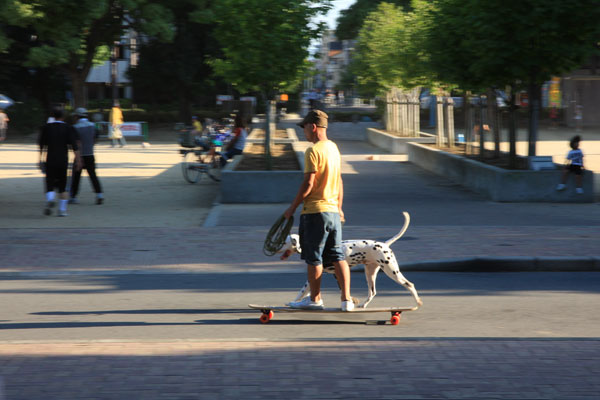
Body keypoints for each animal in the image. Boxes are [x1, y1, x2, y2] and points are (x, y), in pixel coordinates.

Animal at [278, 211, 422, 308]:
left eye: (284, 242)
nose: (275, 247)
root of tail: (385, 244)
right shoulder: (334, 275)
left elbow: (301, 292)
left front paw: (293, 302)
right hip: (370, 273)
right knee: (372, 292)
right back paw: (363, 305)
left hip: (392, 271)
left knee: (410, 285)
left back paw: (418, 302)